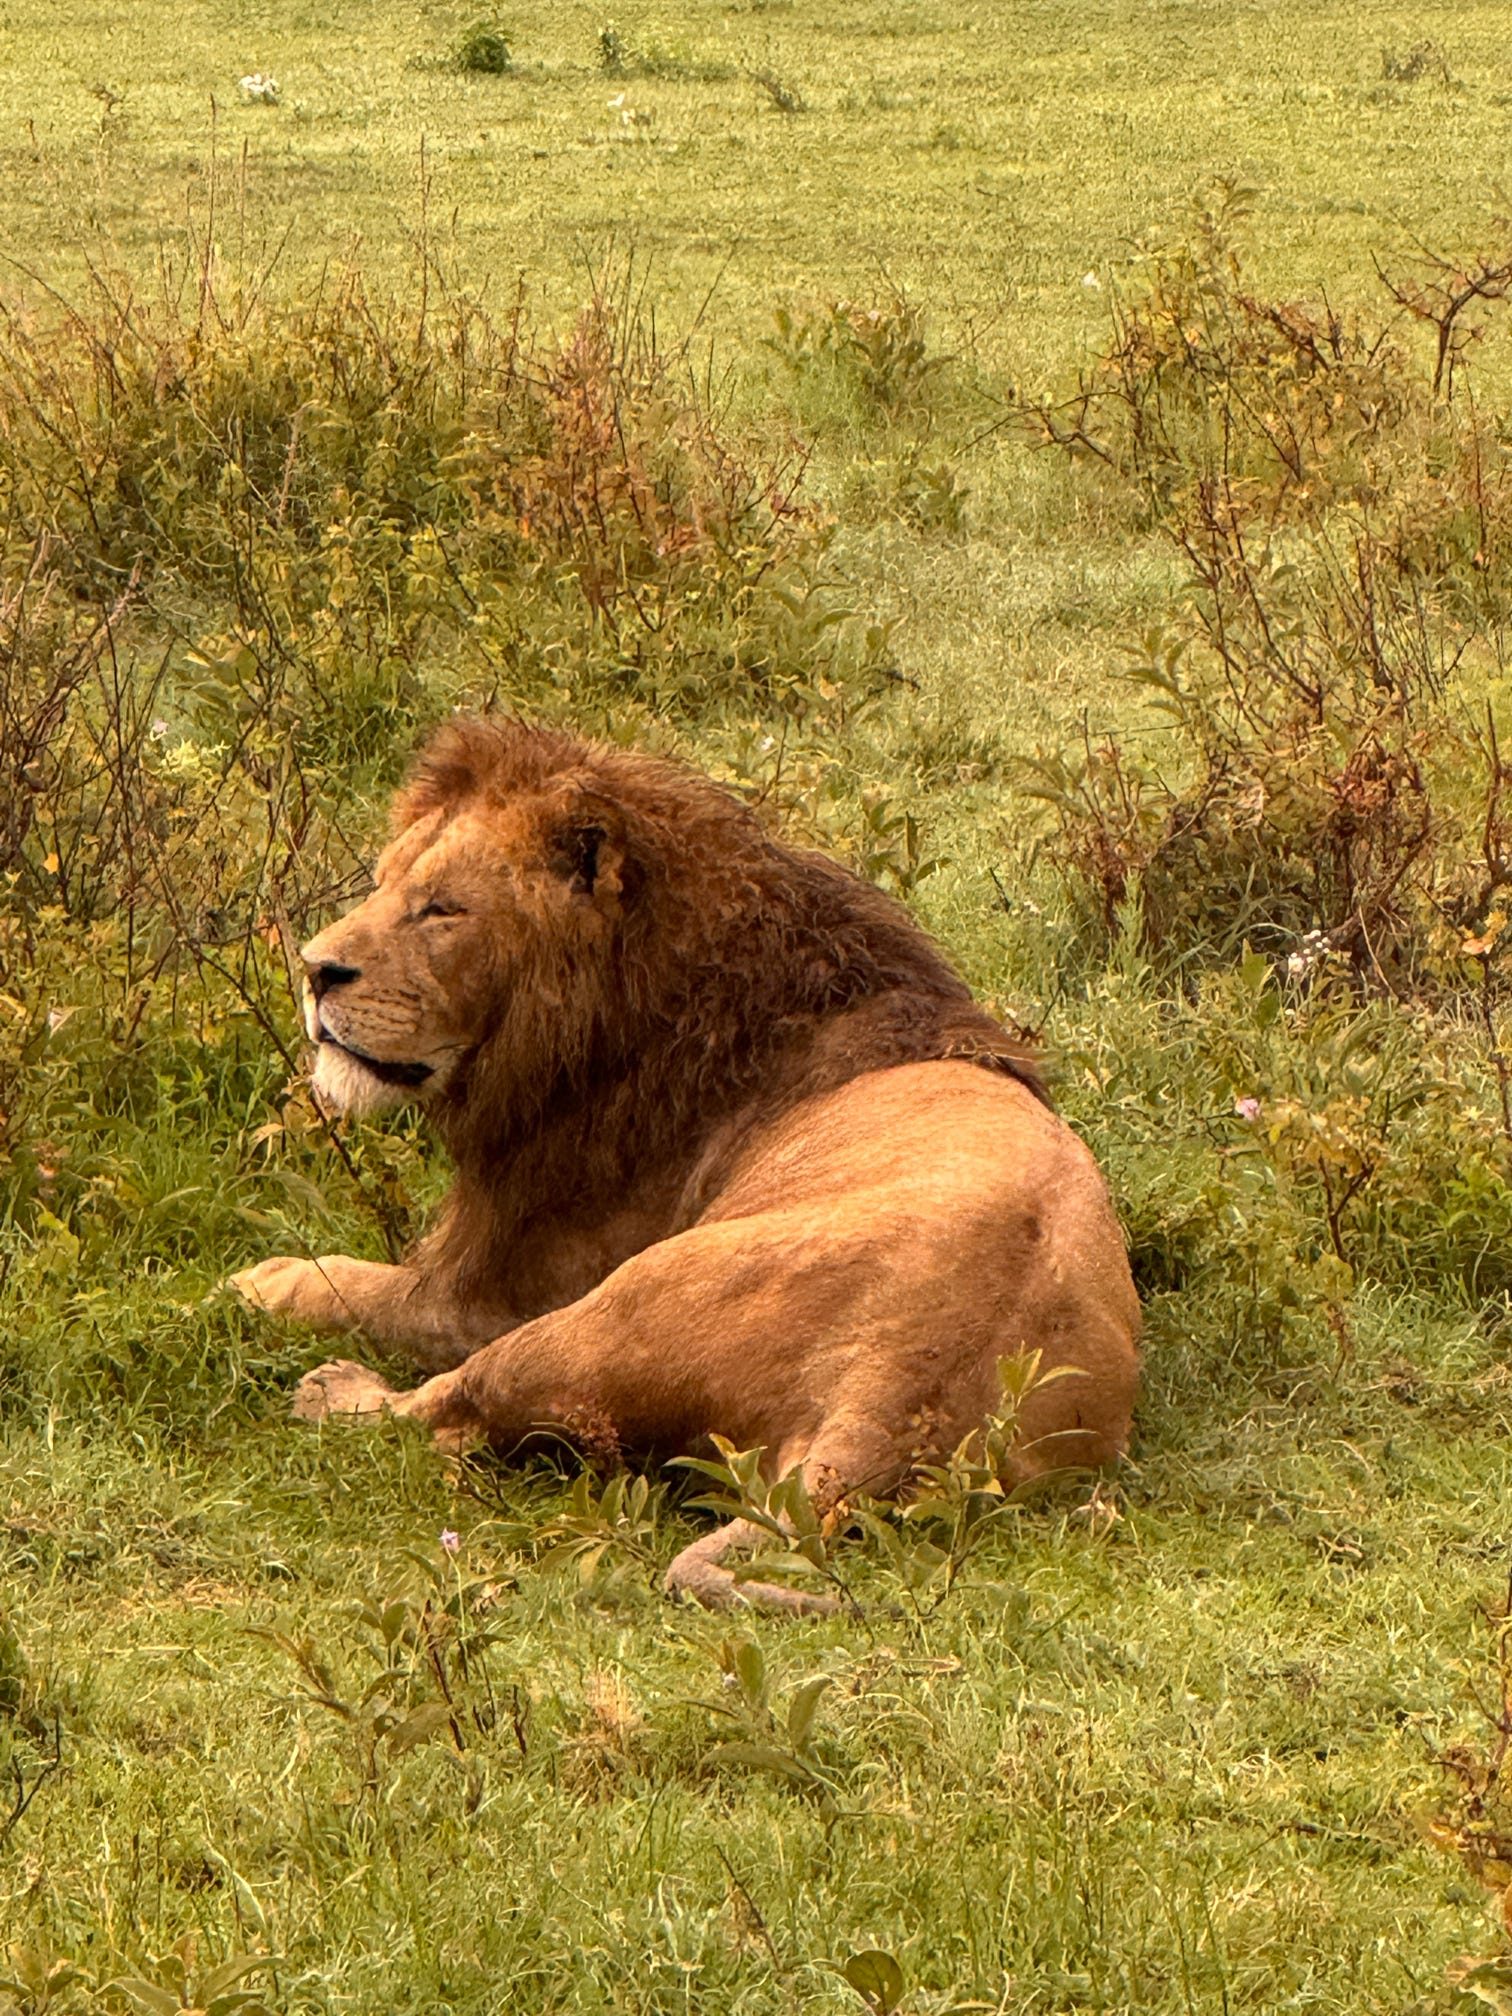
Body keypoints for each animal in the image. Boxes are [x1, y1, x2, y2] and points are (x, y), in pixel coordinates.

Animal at [232, 718, 1140, 1612]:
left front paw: (265, 1280)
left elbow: (361, 1289)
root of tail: (891, 1397)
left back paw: (333, 1390)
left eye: (442, 908)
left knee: (447, 1409)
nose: (314, 971)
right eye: (381, 884)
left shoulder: (493, 1292)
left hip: (598, 1315)